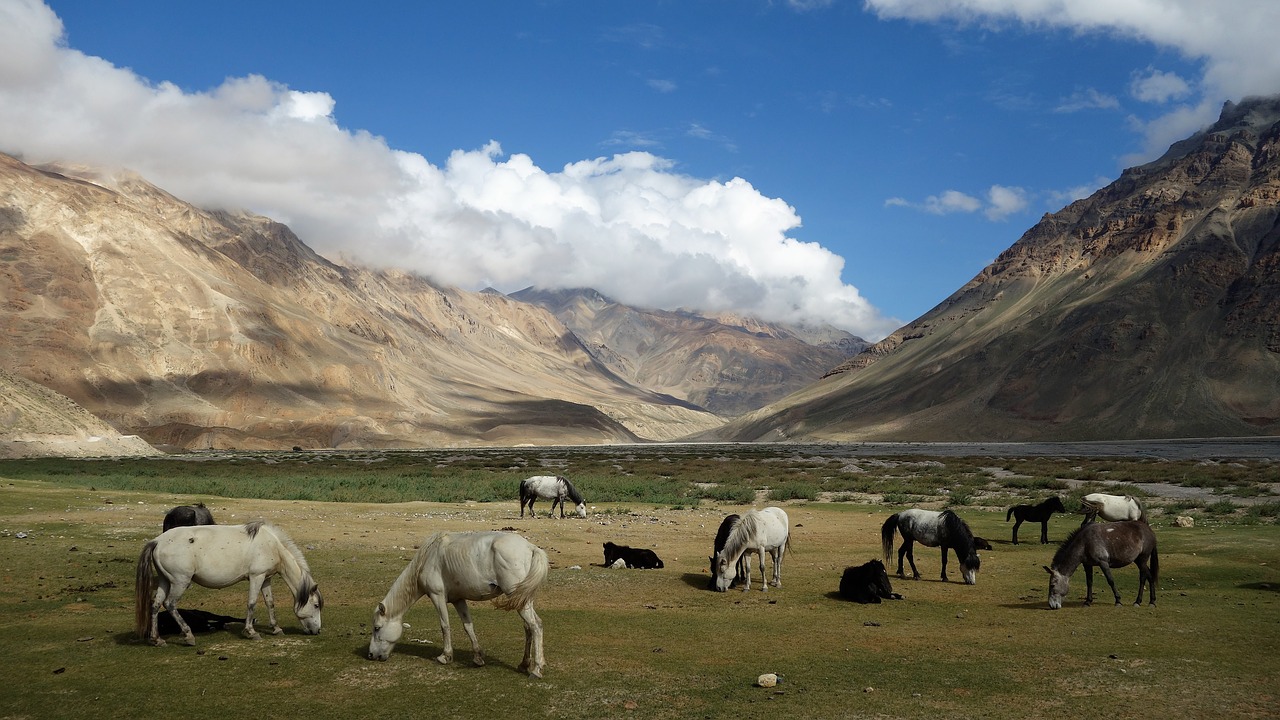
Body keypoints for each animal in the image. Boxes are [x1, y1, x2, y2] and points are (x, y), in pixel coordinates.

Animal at [133, 515, 322, 645]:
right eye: (316, 605)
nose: (317, 631)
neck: (273, 545)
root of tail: (157, 541)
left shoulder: (266, 578)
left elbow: (270, 603)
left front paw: (276, 628)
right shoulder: (256, 577)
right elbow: (252, 603)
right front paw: (251, 632)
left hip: (165, 581)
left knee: (156, 605)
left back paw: (156, 639)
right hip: (180, 582)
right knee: (170, 604)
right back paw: (188, 635)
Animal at [368, 527, 552, 671]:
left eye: (377, 628)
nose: (370, 655)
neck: (427, 557)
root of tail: (530, 547)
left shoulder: (437, 596)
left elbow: (445, 625)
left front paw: (445, 656)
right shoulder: (458, 600)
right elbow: (468, 626)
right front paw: (478, 657)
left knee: (535, 625)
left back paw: (536, 668)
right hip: (522, 599)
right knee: (528, 627)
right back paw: (524, 664)